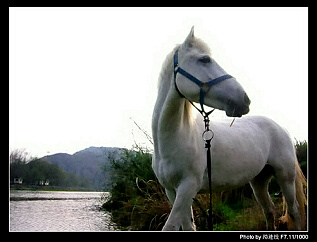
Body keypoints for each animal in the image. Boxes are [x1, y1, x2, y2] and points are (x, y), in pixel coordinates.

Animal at [152, 26, 304, 231]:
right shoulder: (172, 191)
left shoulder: (188, 186)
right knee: (269, 210)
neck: (175, 139)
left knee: (294, 211)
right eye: (204, 59)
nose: (244, 100)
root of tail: (281, 128)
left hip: (285, 177)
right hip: (259, 180)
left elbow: (170, 226)